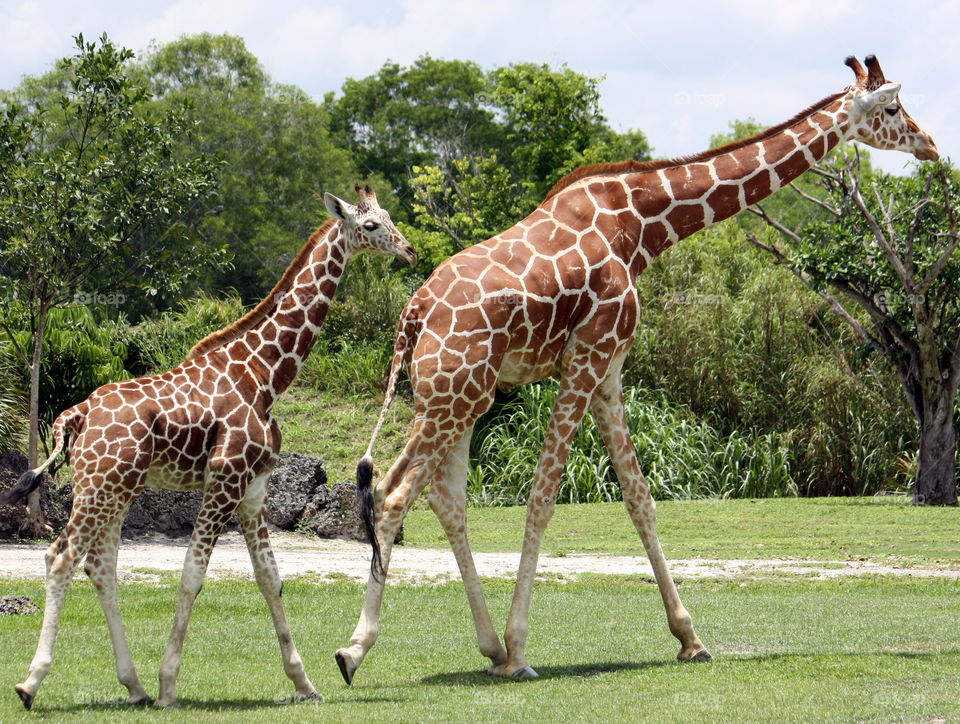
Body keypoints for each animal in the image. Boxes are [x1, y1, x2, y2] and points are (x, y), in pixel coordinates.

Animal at [0, 184, 416, 710]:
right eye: (370, 226)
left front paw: (303, 683)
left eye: (388, 216)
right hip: (101, 486)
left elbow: (270, 579)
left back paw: (133, 686)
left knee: (100, 566)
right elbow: (193, 576)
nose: (409, 250)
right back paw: (31, 683)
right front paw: (169, 686)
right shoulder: (224, 478)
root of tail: (75, 415)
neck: (265, 374)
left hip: (115, 487)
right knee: (60, 557)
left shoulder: (253, 488)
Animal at [335, 55, 938, 683]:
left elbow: (639, 495)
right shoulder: (588, 355)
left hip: (457, 397)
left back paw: (487, 649)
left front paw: (690, 638)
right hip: (454, 395)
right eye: (893, 107)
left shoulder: (609, 369)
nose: (930, 145)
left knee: (441, 497)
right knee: (395, 494)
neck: (643, 224)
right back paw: (358, 650)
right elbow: (543, 495)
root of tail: (411, 315)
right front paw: (523, 649)